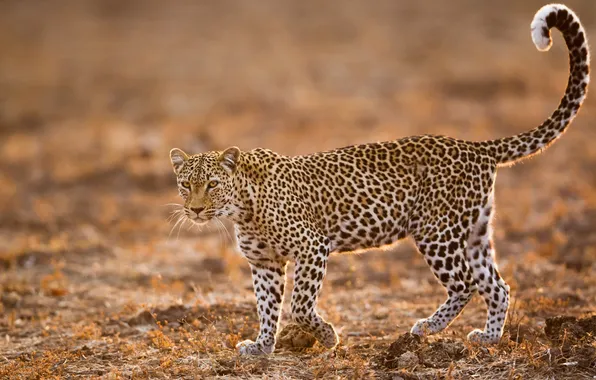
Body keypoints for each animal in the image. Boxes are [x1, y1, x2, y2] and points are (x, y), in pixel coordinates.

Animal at [168, 2, 588, 354]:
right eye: (187, 185)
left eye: (212, 184)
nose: (196, 210)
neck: (244, 208)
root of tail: (476, 147)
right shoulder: (264, 263)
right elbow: (267, 307)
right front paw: (262, 346)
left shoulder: (312, 247)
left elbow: (300, 305)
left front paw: (326, 336)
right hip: (474, 232)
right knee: (497, 286)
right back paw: (488, 338)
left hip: (436, 231)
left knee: (465, 284)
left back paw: (426, 329)